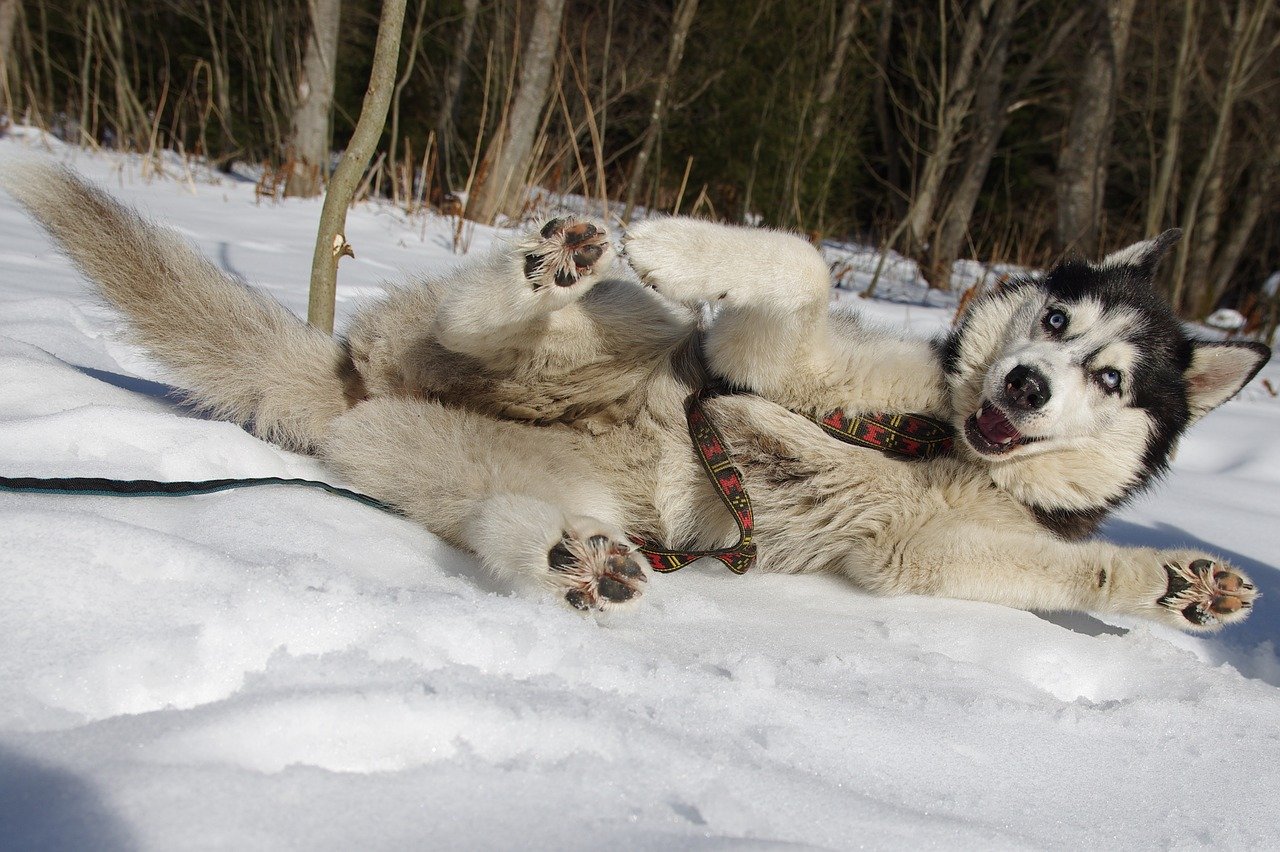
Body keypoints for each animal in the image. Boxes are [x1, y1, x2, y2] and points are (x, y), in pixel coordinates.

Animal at [2, 159, 1269, 626]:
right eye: (1052, 320)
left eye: (1107, 376)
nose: (1022, 381)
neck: (941, 440)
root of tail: (353, 386)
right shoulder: (764, 363)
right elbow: (799, 264)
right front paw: (680, 242)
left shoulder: (927, 553)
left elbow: (1075, 570)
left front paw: (1180, 583)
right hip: (601, 342)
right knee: (492, 322)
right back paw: (549, 269)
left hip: (484, 471)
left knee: (505, 519)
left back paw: (578, 558)